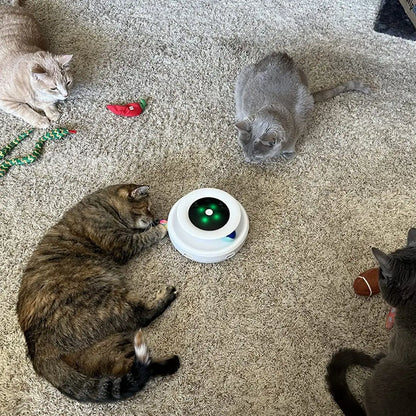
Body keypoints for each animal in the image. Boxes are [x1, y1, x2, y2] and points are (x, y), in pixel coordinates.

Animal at [16, 184, 179, 402]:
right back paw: (166, 295)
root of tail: (38, 352)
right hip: (109, 303)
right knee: (142, 318)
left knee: (135, 369)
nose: (155, 218)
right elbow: (144, 237)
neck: (103, 205)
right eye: (147, 207)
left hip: (107, 349)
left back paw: (171, 363)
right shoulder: (122, 243)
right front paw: (161, 228)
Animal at [234, 52, 370, 162]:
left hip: (306, 94)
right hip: (243, 76)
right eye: (243, 150)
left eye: (256, 157)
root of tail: (283, 57)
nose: (247, 160)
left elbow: (290, 152)